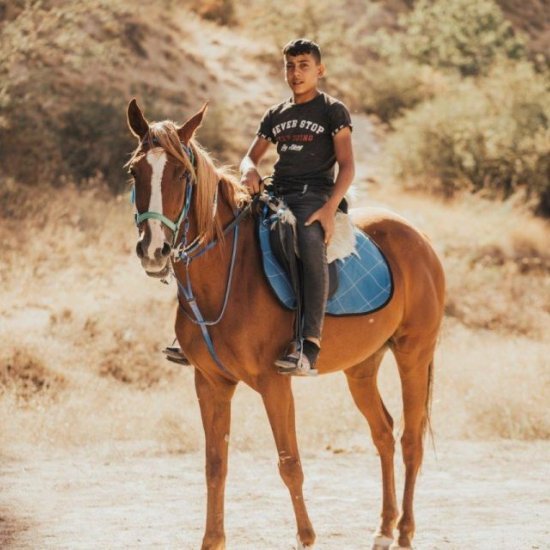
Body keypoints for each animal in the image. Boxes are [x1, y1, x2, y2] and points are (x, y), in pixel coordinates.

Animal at [127, 100, 446, 550]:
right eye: (134, 172)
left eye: (180, 174)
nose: (154, 250)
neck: (228, 273)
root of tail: (419, 239)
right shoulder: (210, 383)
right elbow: (215, 464)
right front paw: (213, 540)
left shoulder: (274, 383)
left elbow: (289, 462)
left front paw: (306, 537)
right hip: (362, 367)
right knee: (383, 432)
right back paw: (384, 527)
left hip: (413, 354)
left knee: (411, 439)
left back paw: (403, 532)